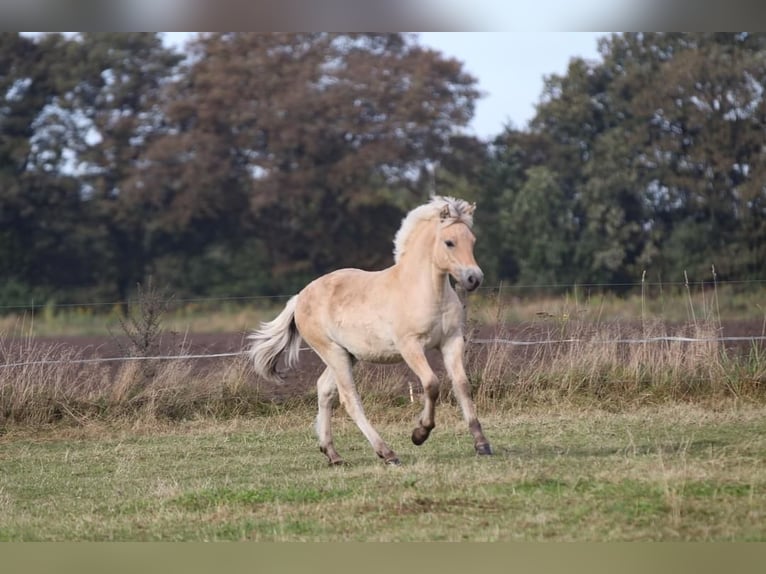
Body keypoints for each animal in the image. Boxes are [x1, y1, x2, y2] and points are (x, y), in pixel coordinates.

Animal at [249, 196, 496, 466]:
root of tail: (299, 298)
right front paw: (419, 433)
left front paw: (482, 444)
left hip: (347, 355)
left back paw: (333, 454)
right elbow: (431, 384)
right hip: (333, 353)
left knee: (324, 390)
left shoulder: (451, 341)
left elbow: (462, 385)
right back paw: (387, 453)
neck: (425, 290)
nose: (474, 278)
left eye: (472, 241)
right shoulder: (410, 346)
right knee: (349, 399)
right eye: (449, 242)